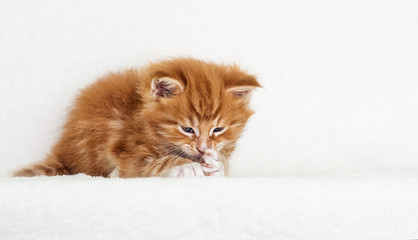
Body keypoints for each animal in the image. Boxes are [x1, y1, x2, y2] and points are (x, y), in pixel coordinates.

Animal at [13, 57, 262, 178]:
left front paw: (215, 163)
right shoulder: (128, 151)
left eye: (217, 129)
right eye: (187, 129)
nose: (202, 148)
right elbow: (154, 163)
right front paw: (187, 166)